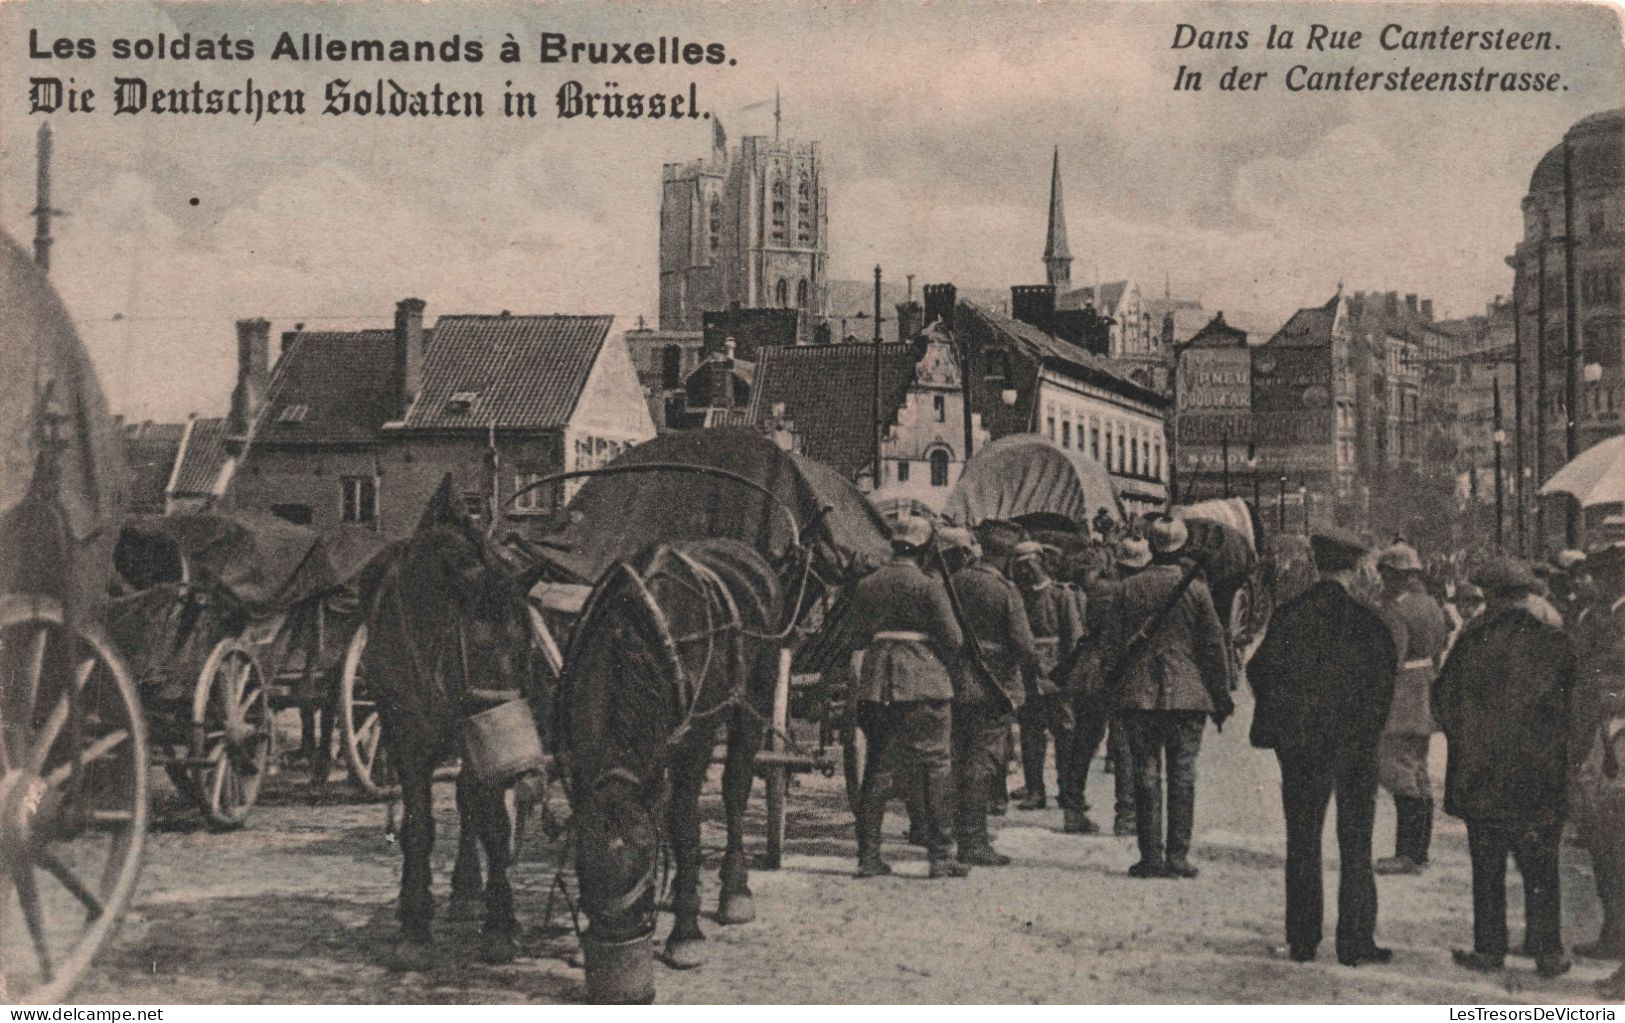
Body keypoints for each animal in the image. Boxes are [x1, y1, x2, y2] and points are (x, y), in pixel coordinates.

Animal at [357, 483, 539, 967]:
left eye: (527, 647)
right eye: (477, 648)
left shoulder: (478, 736)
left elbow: (491, 820)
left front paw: (500, 924)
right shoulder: (405, 738)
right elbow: (418, 826)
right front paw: (414, 925)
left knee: (468, 801)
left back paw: (468, 891)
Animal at [562, 535, 809, 967]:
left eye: (644, 862)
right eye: (584, 864)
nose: (616, 938)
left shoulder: (695, 744)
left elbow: (683, 822)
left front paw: (686, 931)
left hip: (758, 693)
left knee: (735, 786)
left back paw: (734, 890)